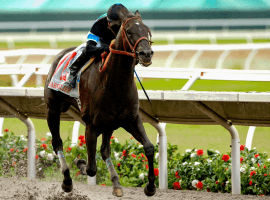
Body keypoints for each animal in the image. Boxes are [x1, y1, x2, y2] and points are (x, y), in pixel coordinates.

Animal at [43, 8, 154, 196]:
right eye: (129, 31)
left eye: (147, 30)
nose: (146, 54)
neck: (114, 83)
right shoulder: (91, 125)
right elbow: (91, 168)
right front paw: (80, 163)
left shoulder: (131, 119)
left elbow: (149, 148)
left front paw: (150, 186)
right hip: (53, 109)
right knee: (57, 142)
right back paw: (67, 181)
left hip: (109, 123)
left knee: (105, 150)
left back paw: (116, 184)